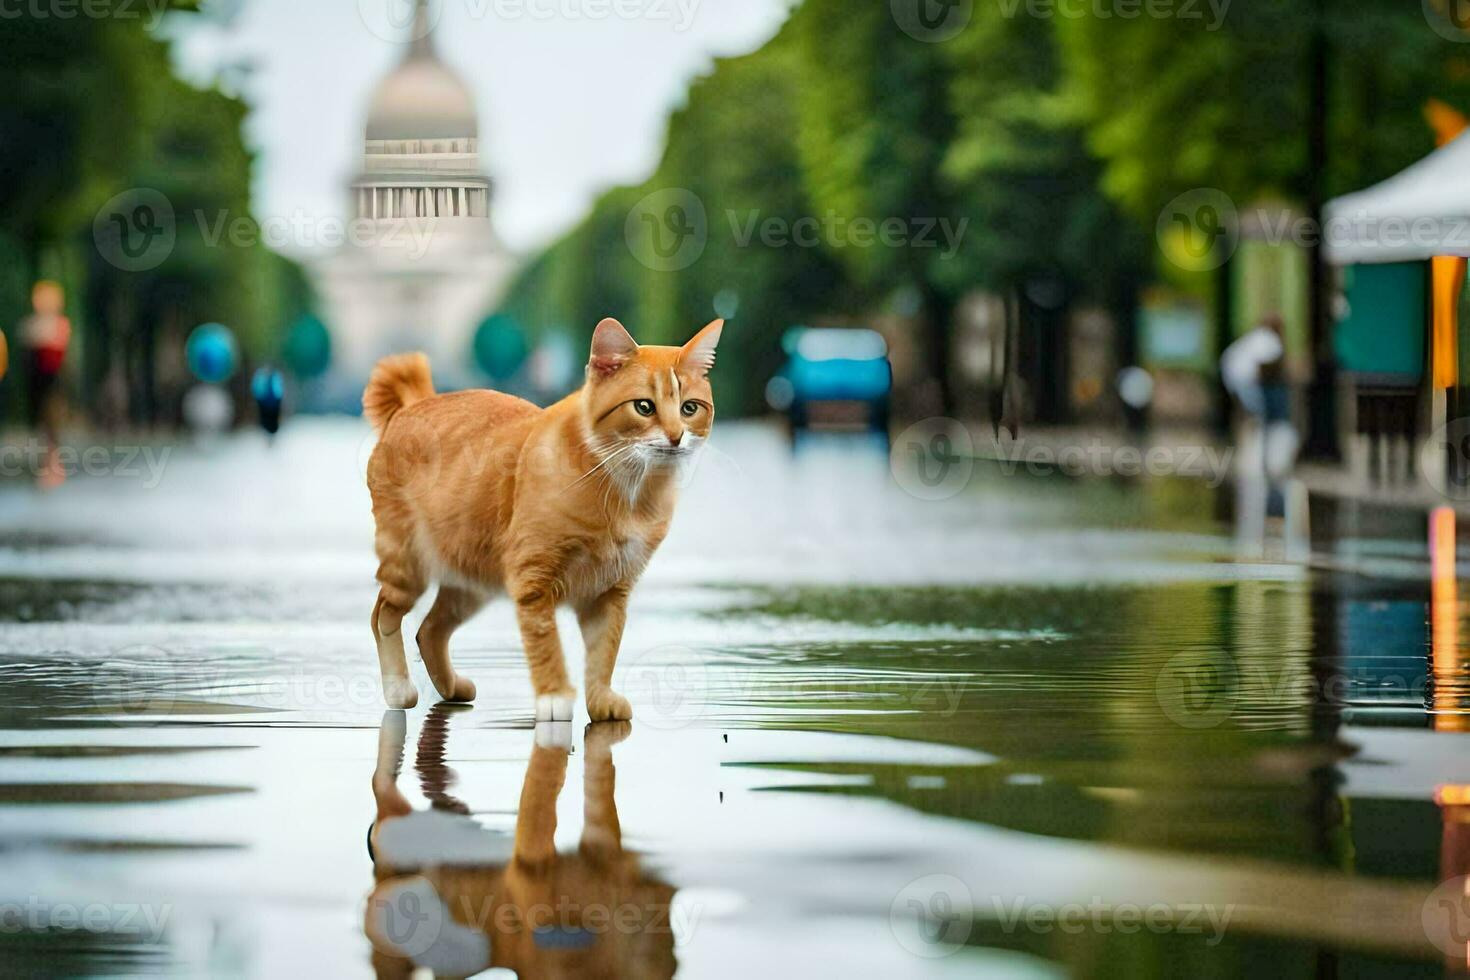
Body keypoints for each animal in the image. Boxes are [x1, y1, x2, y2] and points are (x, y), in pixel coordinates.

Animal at [361, 320, 717, 719]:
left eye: (690, 408)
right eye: (644, 407)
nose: (675, 437)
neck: (626, 489)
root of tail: (418, 403)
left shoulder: (610, 590)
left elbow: (604, 651)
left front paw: (600, 700)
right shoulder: (534, 581)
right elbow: (547, 646)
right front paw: (554, 697)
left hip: (472, 581)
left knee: (430, 629)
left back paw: (452, 688)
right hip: (409, 565)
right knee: (383, 615)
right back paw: (398, 689)